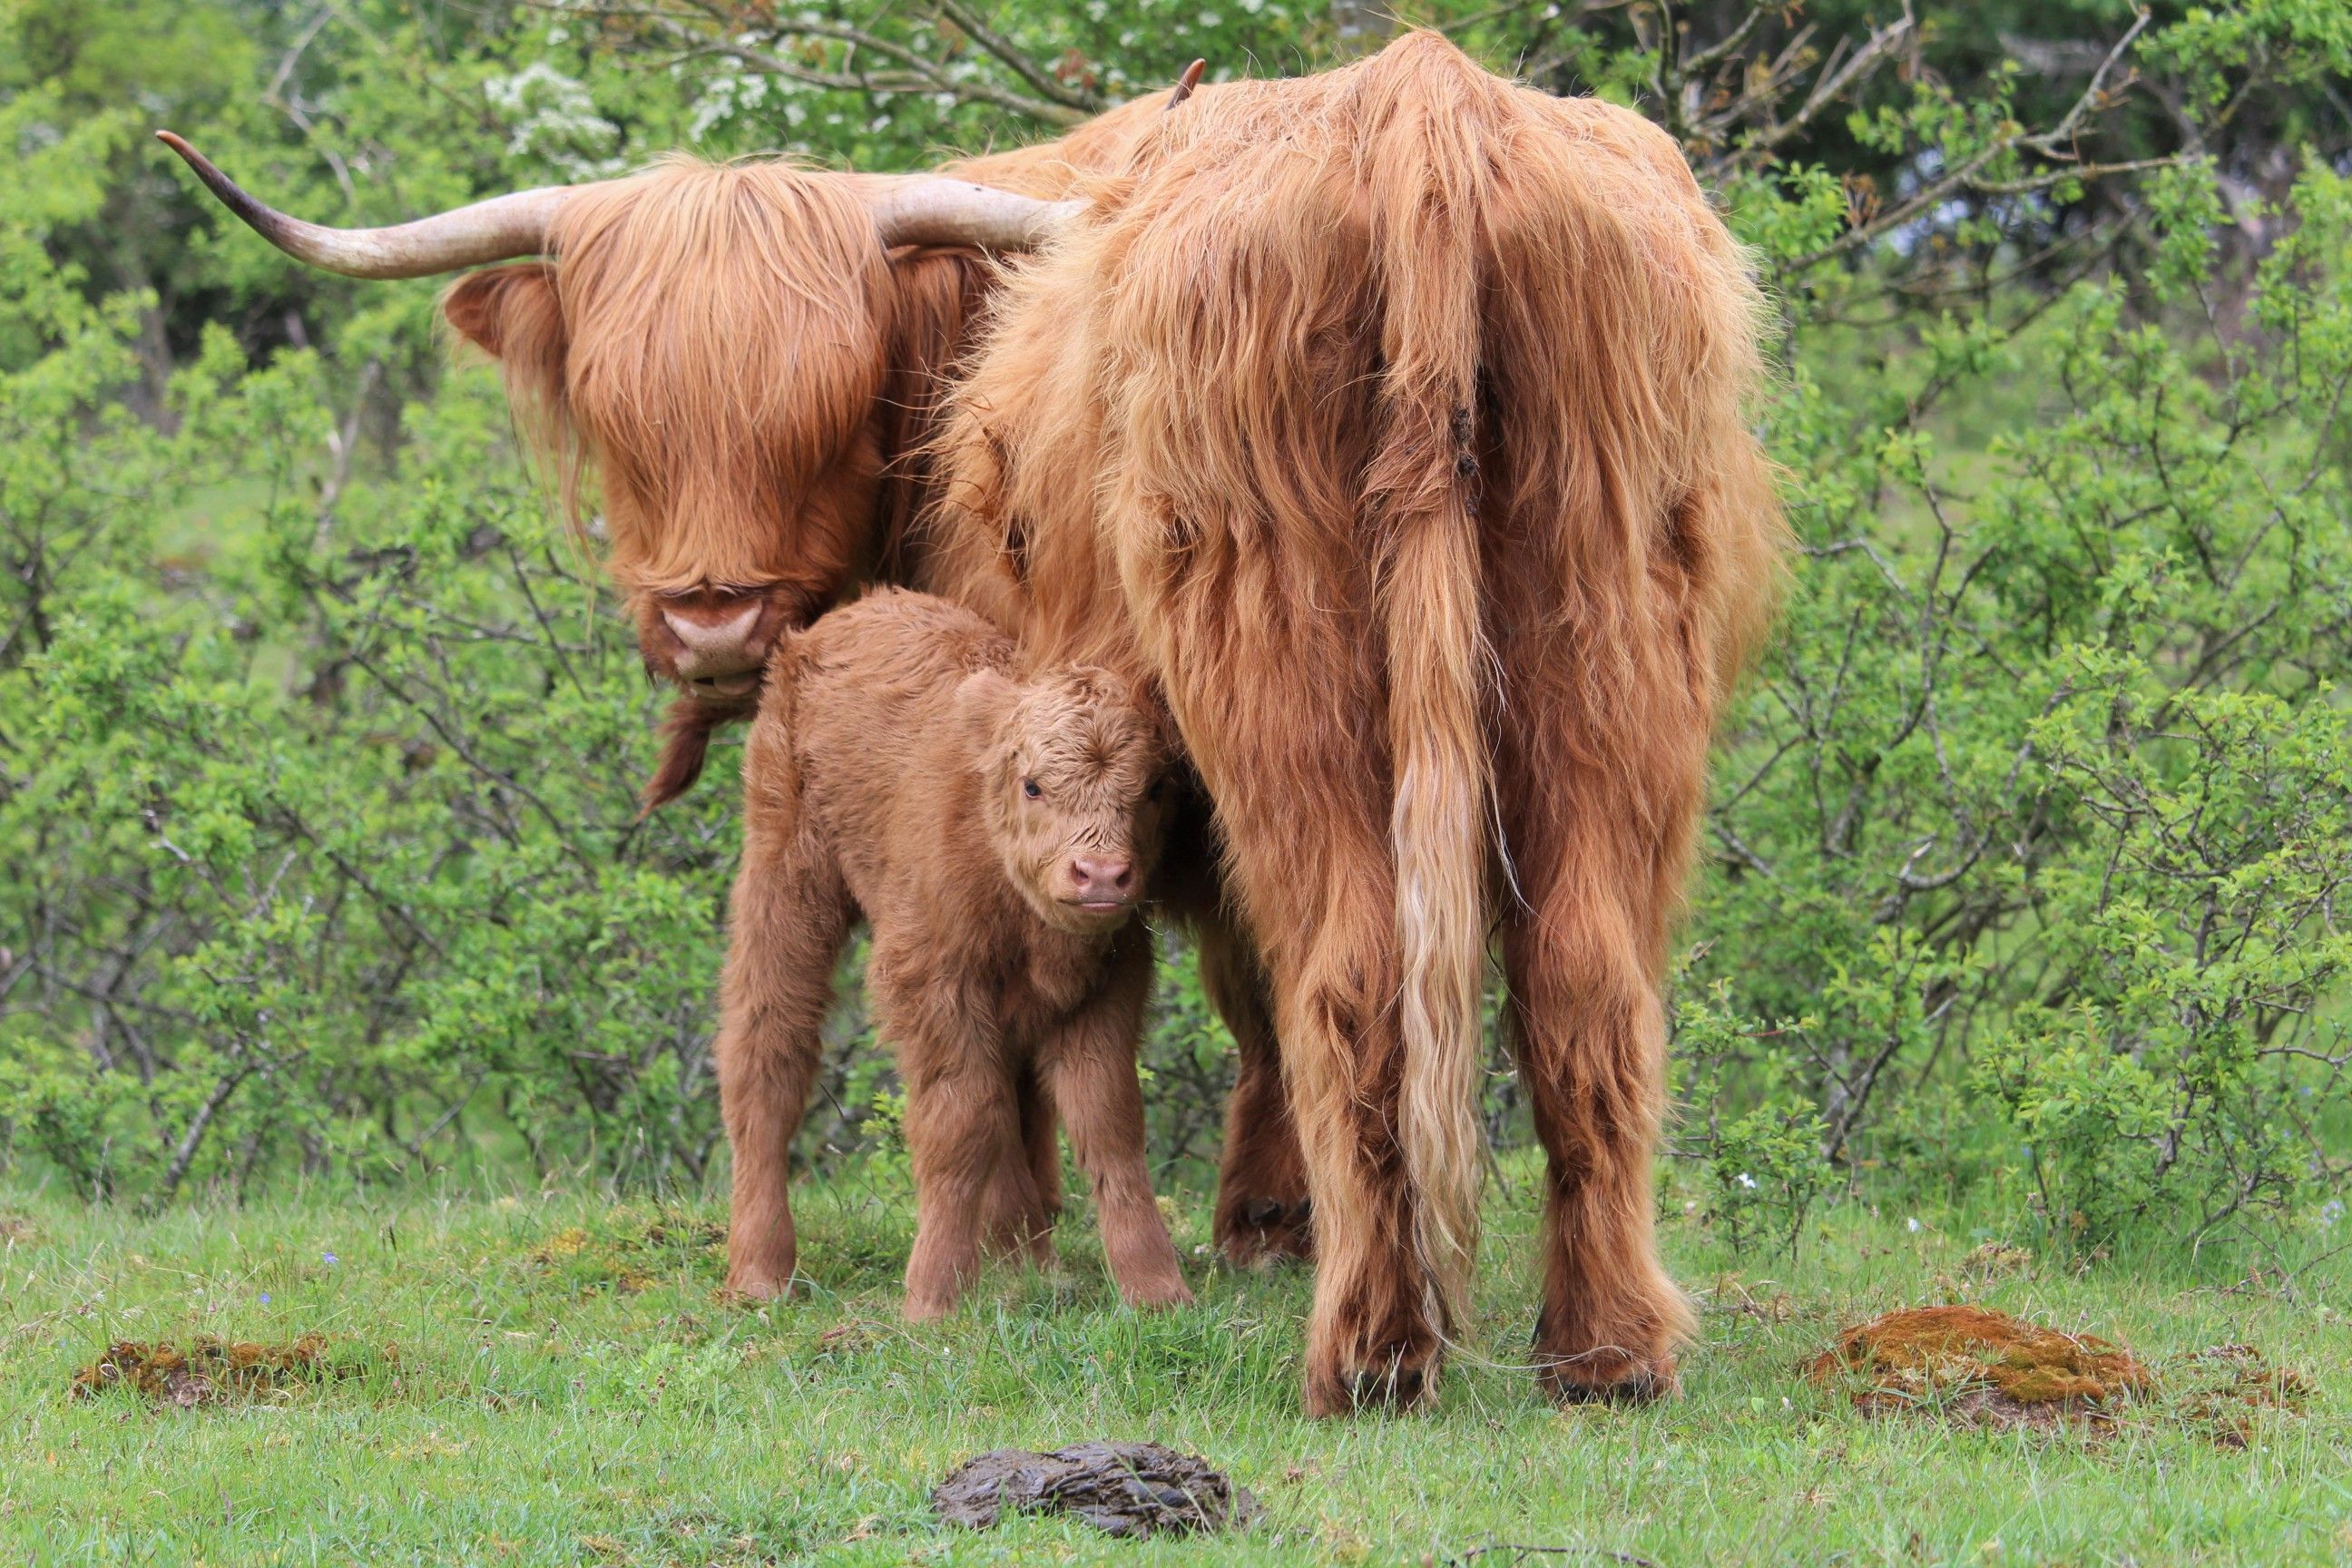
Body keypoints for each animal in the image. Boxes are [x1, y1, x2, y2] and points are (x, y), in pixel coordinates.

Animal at [710, 585, 1194, 1316]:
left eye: (1154, 788)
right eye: (1032, 784)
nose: (1103, 875)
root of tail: (853, 613)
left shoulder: (1105, 991)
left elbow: (1106, 1123)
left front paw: (1157, 1291)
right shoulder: (932, 983)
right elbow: (959, 1122)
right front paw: (933, 1299)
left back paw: (1028, 1266)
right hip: (786, 884)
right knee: (767, 1052)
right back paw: (761, 1271)